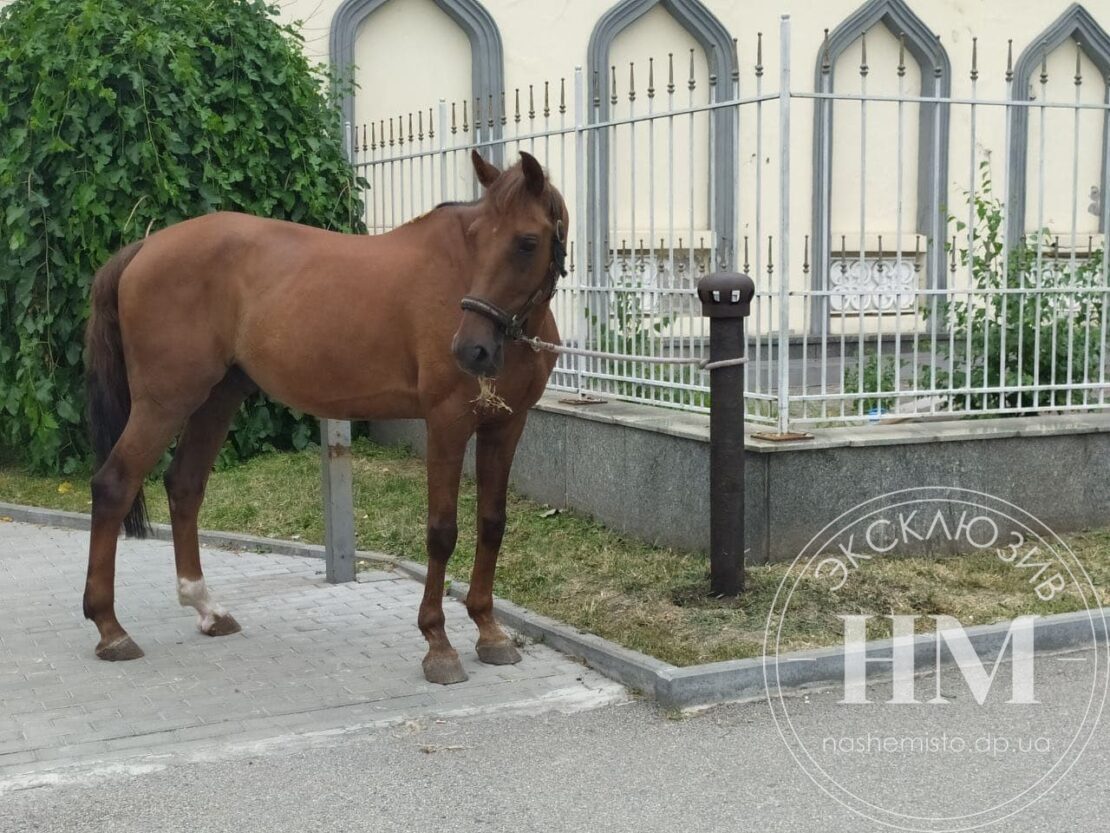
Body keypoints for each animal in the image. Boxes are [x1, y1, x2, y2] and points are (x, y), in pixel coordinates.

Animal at [81, 149, 563, 684]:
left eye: (526, 242)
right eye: (475, 237)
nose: (470, 350)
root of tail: (143, 248)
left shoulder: (506, 425)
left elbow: (492, 523)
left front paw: (490, 632)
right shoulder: (447, 424)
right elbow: (441, 532)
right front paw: (438, 644)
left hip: (215, 399)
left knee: (184, 485)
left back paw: (206, 609)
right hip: (163, 403)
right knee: (114, 485)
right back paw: (110, 629)